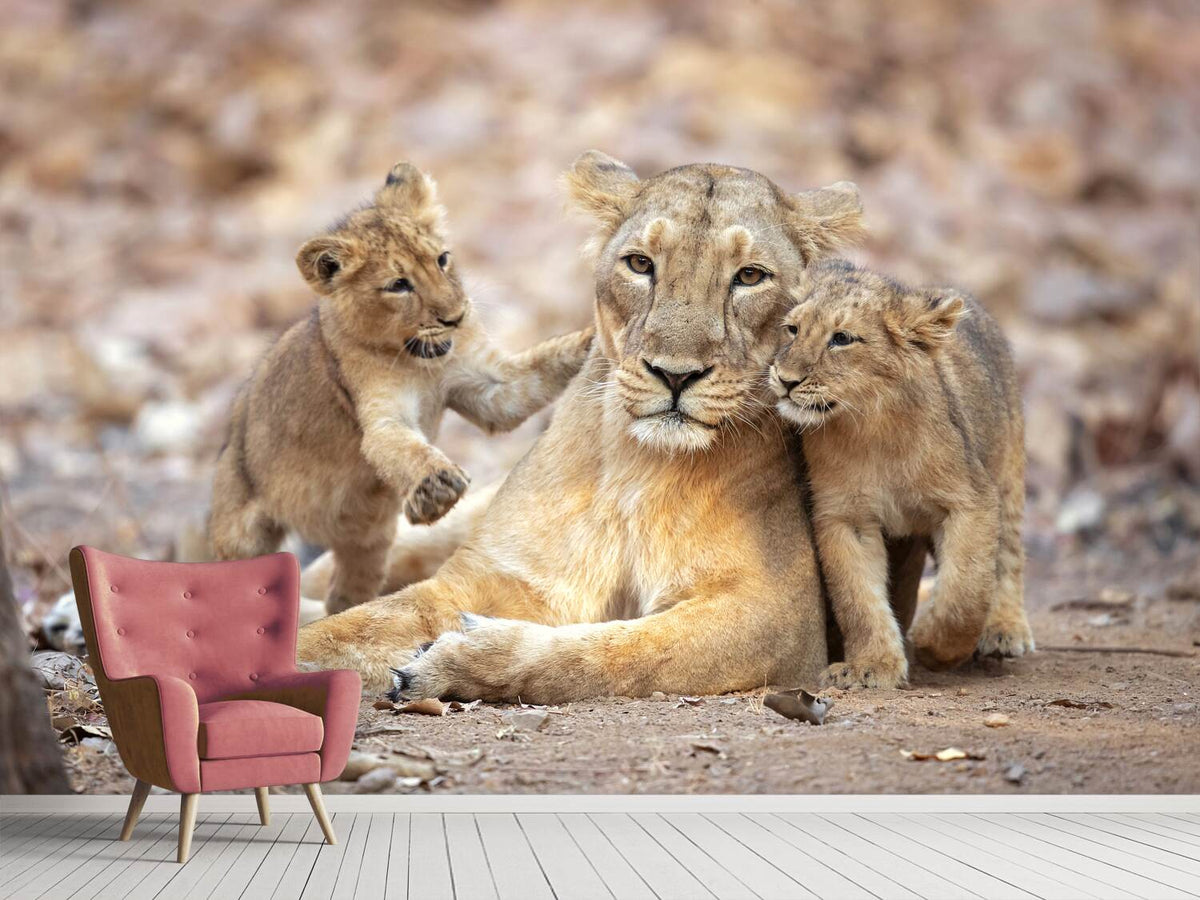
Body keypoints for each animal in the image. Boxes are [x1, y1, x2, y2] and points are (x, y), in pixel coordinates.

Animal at [209, 162, 593, 616]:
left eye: (442, 259)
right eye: (398, 285)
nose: (456, 317)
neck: (422, 364)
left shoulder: (486, 386)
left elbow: (536, 373)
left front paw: (596, 340)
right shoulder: (379, 415)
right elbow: (403, 447)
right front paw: (436, 488)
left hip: (366, 544)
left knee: (344, 594)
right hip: (240, 527)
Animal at [295, 151, 908, 702]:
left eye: (750, 276)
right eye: (640, 264)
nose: (674, 374)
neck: (634, 464)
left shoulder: (778, 617)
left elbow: (622, 654)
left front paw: (465, 659)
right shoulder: (486, 577)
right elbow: (342, 632)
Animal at [770, 261, 1033, 689]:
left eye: (841, 339)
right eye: (792, 329)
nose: (785, 379)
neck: (869, 429)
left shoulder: (971, 499)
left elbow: (966, 587)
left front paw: (933, 645)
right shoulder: (846, 518)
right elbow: (859, 600)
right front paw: (871, 666)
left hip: (1008, 474)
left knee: (1008, 556)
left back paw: (1004, 631)